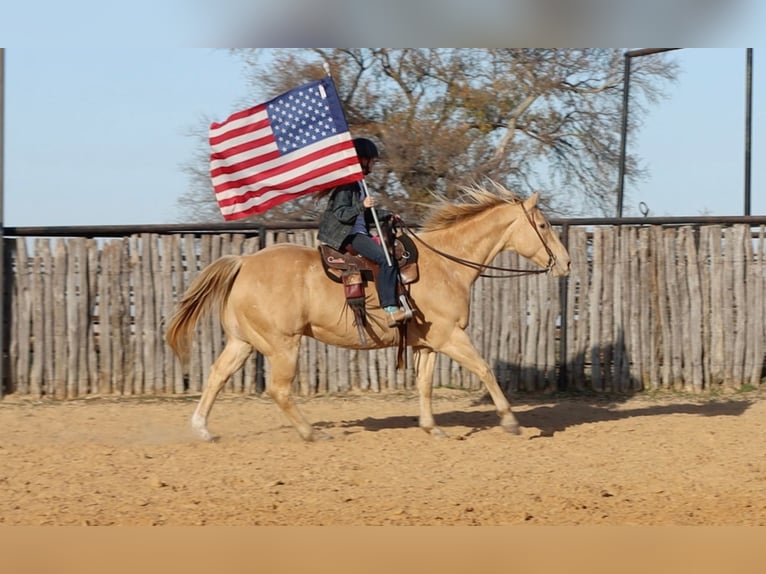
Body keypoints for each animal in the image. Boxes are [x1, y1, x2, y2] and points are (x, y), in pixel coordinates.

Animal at [165, 184, 571, 442]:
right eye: (543, 225)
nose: (566, 263)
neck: (446, 264)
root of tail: (245, 262)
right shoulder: (450, 336)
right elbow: (485, 369)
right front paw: (511, 422)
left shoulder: (427, 344)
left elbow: (425, 385)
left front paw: (432, 428)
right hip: (283, 345)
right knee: (279, 390)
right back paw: (312, 433)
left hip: (244, 342)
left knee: (217, 375)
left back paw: (203, 430)